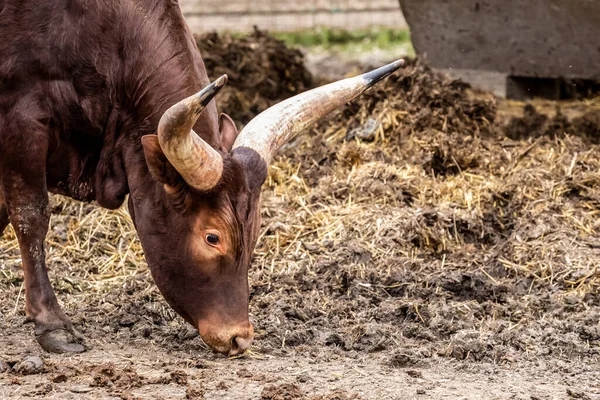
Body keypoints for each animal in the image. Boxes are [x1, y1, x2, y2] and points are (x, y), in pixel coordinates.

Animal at [0, 0, 404, 356]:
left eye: (255, 231)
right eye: (212, 237)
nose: (239, 338)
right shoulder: (21, 120)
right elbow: (31, 216)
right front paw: (52, 324)